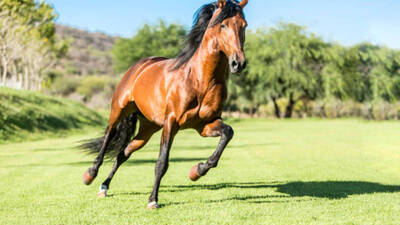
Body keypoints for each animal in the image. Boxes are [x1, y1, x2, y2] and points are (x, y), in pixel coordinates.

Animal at [81, 0, 248, 209]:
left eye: (244, 25)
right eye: (223, 25)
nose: (238, 63)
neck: (199, 80)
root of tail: (140, 65)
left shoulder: (205, 124)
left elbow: (227, 133)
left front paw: (197, 171)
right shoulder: (171, 122)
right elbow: (162, 163)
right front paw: (153, 200)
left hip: (148, 128)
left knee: (123, 153)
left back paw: (104, 187)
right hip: (119, 110)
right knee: (109, 136)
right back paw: (90, 175)